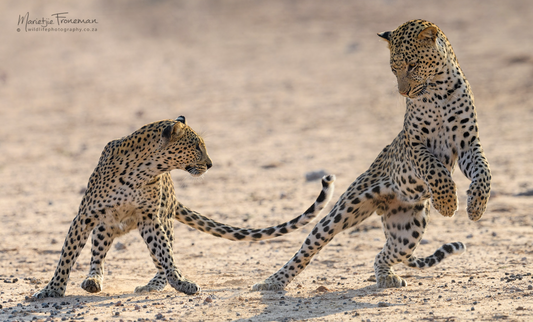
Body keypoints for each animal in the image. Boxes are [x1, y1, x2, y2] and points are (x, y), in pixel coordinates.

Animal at [32, 116, 332, 300]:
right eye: (197, 146)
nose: (210, 164)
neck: (142, 173)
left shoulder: (150, 219)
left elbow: (165, 255)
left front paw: (182, 282)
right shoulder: (84, 217)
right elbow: (67, 255)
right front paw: (52, 290)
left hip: (159, 220)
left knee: (161, 257)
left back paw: (152, 285)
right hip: (106, 225)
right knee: (98, 253)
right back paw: (94, 279)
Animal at [254, 20, 490, 292]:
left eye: (413, 65)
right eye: (394, 69)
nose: (403, 93)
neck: (439, 90)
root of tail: (381, 206)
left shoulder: (468, 143)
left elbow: (484, 172)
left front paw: (476, 207)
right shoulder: (416, 144)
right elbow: (435, 169)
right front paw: (448, 203)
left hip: (408, 230)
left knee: (383, 255)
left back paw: (387, 277)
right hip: (343, 210)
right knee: (307, 247)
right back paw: (272, 282)